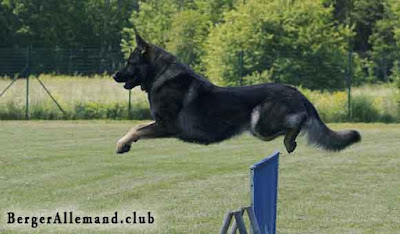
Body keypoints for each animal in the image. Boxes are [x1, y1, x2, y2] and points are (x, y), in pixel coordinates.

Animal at [112, 32, 360, 154]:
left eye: (130, 63)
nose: (114, 75)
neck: (162, 74)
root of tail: (297, 92)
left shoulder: (167, 125)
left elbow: (136, 128)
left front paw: (122, 144)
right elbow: (137, 127)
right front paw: (126, 144)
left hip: (258, 124)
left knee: (296, 124)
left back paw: (290, 141)